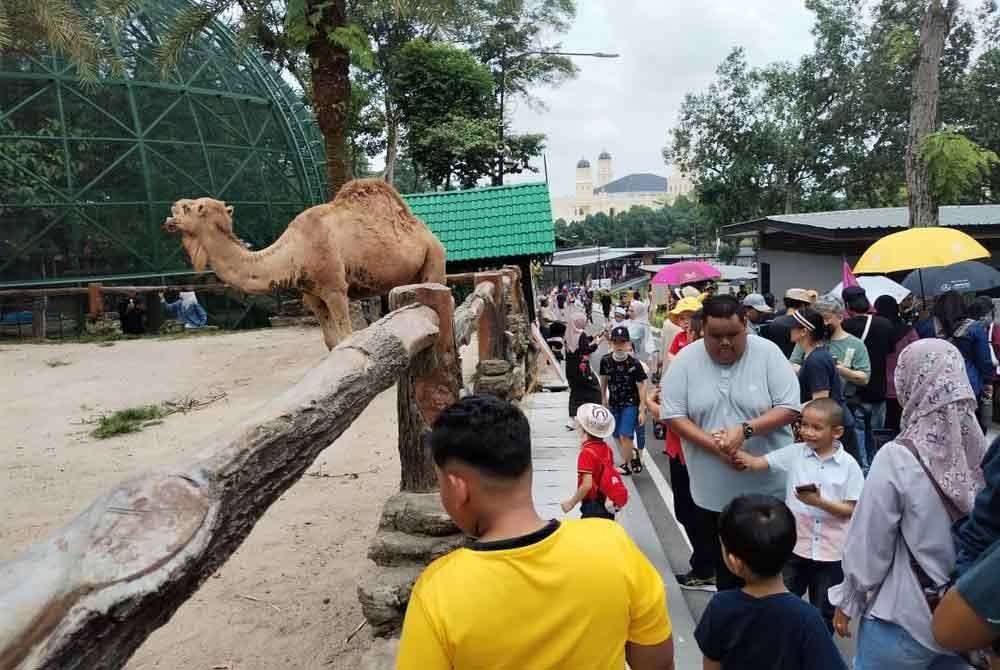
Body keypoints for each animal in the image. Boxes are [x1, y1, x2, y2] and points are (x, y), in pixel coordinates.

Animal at [166, 178, 448, 350]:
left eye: (189, 208)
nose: (170, 212)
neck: (295, 250)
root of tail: (428, 234)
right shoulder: (312, 295)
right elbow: (331, 341)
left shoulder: (335, 289)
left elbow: (347, 336)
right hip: (409, 275)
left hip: (434, 259)